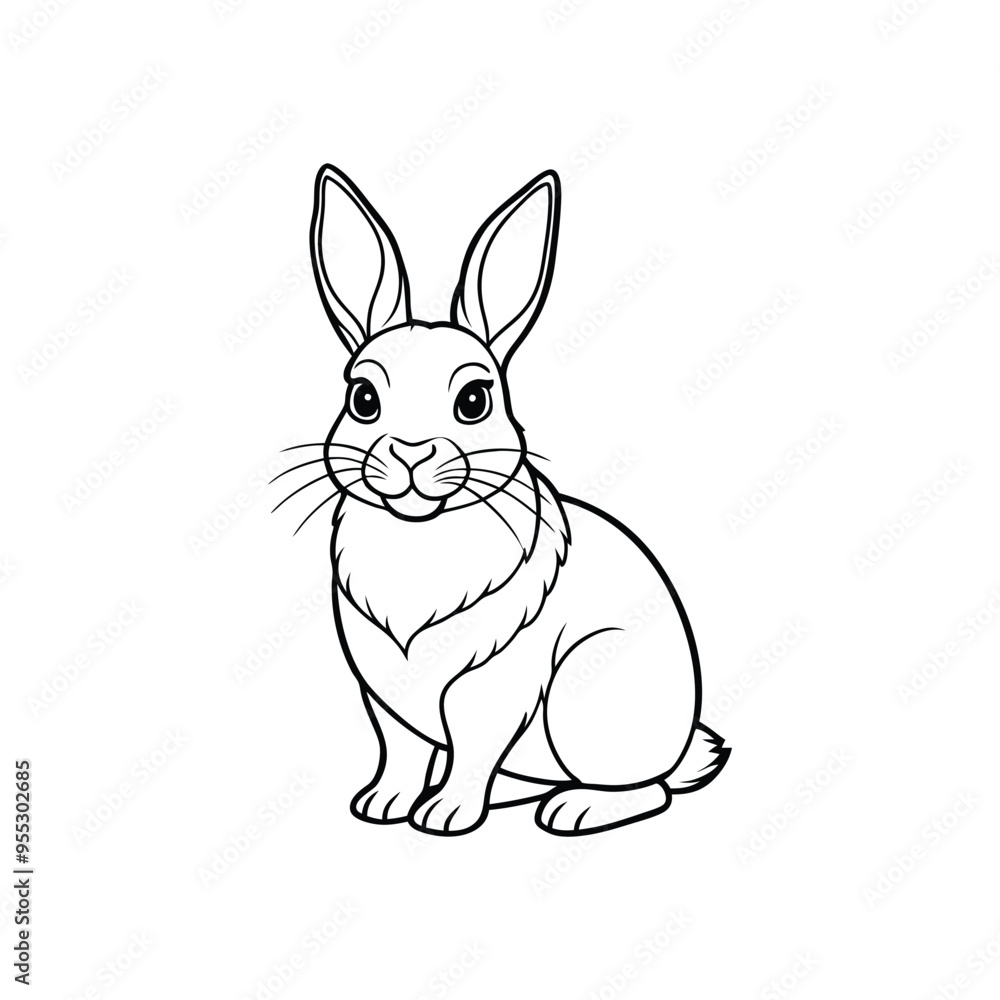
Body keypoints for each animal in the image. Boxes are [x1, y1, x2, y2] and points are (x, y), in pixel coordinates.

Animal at [294, 163, 730, 836]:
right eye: (363, 399)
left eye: (474, 400)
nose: (411, 452)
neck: (418, 537)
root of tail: (684, 742)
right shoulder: (383, 693)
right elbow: (399, 750)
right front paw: (382, 805)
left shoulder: (491, 688)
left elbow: (472, 744)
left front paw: (444, 816)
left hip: (587, 703)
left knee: (646, 790)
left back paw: (574, 809)